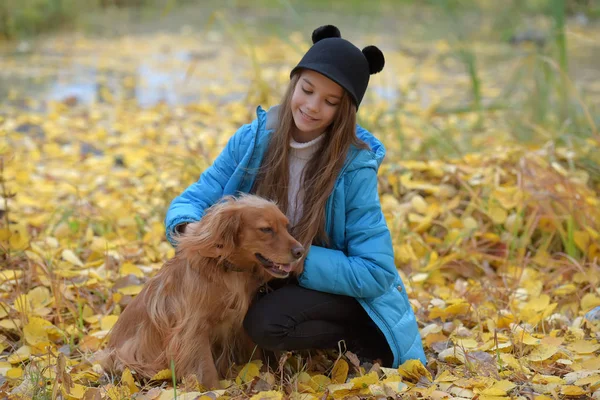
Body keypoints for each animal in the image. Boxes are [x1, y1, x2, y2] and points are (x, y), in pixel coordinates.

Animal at [101, 195, 304, 390]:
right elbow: (205, 367)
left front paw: (261, 377)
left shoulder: (240, 324)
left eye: (287, 227)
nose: (300, 251)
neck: (229, 272)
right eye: (266, 229)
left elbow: (255, 356)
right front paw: (216, 392)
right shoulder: (193, 329)